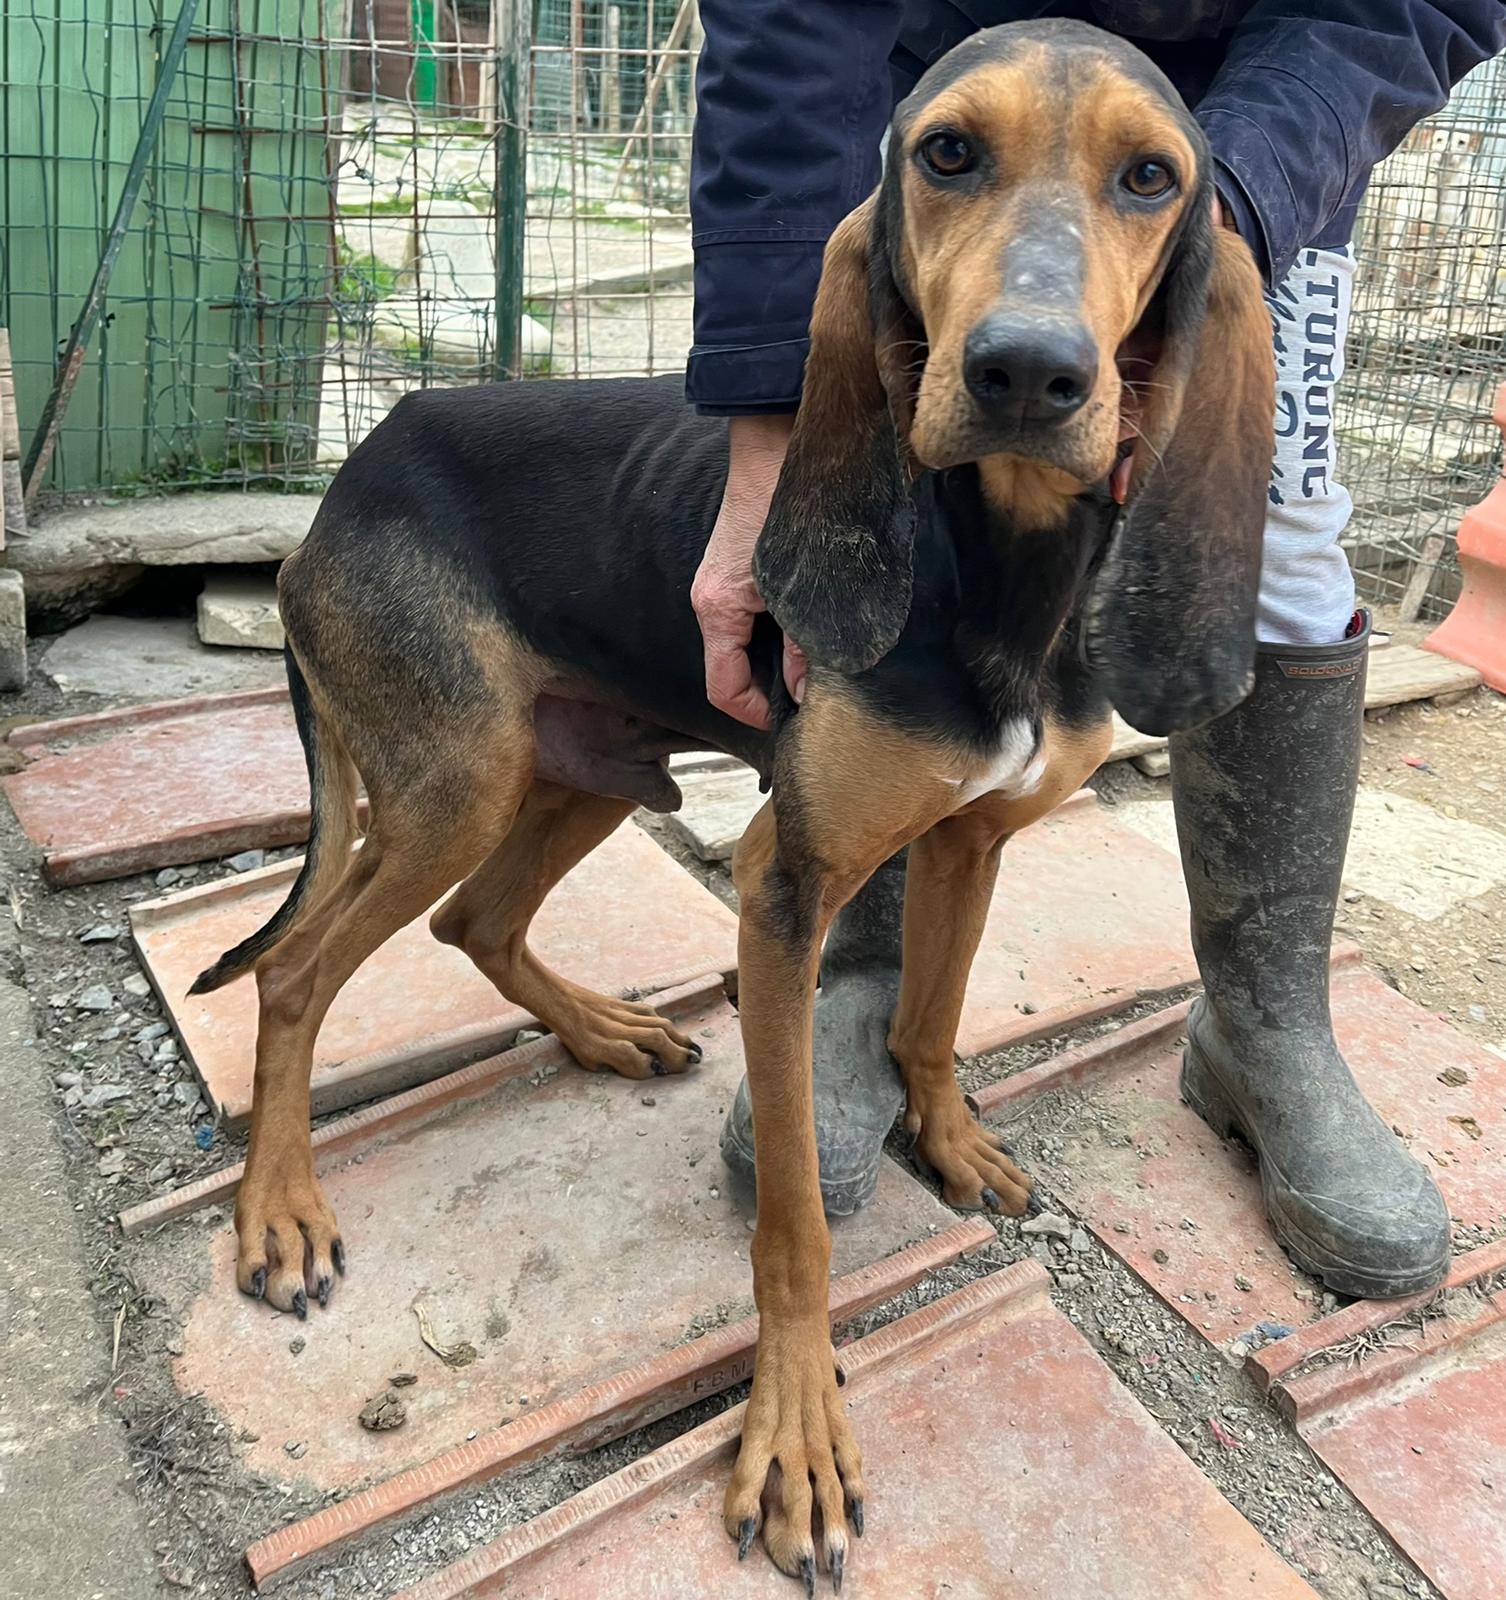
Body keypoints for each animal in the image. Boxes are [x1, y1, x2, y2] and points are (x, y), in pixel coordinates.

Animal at [194, 18, 1273, 1590]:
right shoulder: (785, 889)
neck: (999, 564)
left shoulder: (969, 841)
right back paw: (279, 1211)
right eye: (947, 152)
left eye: (1152, 177)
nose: (1026, 372)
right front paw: (799, 1435)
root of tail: (353, 468)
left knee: (474, 924)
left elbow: (930, 1023)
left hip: (576, 767)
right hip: (458, 781)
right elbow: (794, 1225)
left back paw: (604, 1031)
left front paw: (949, 1141)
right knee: (293, 971)